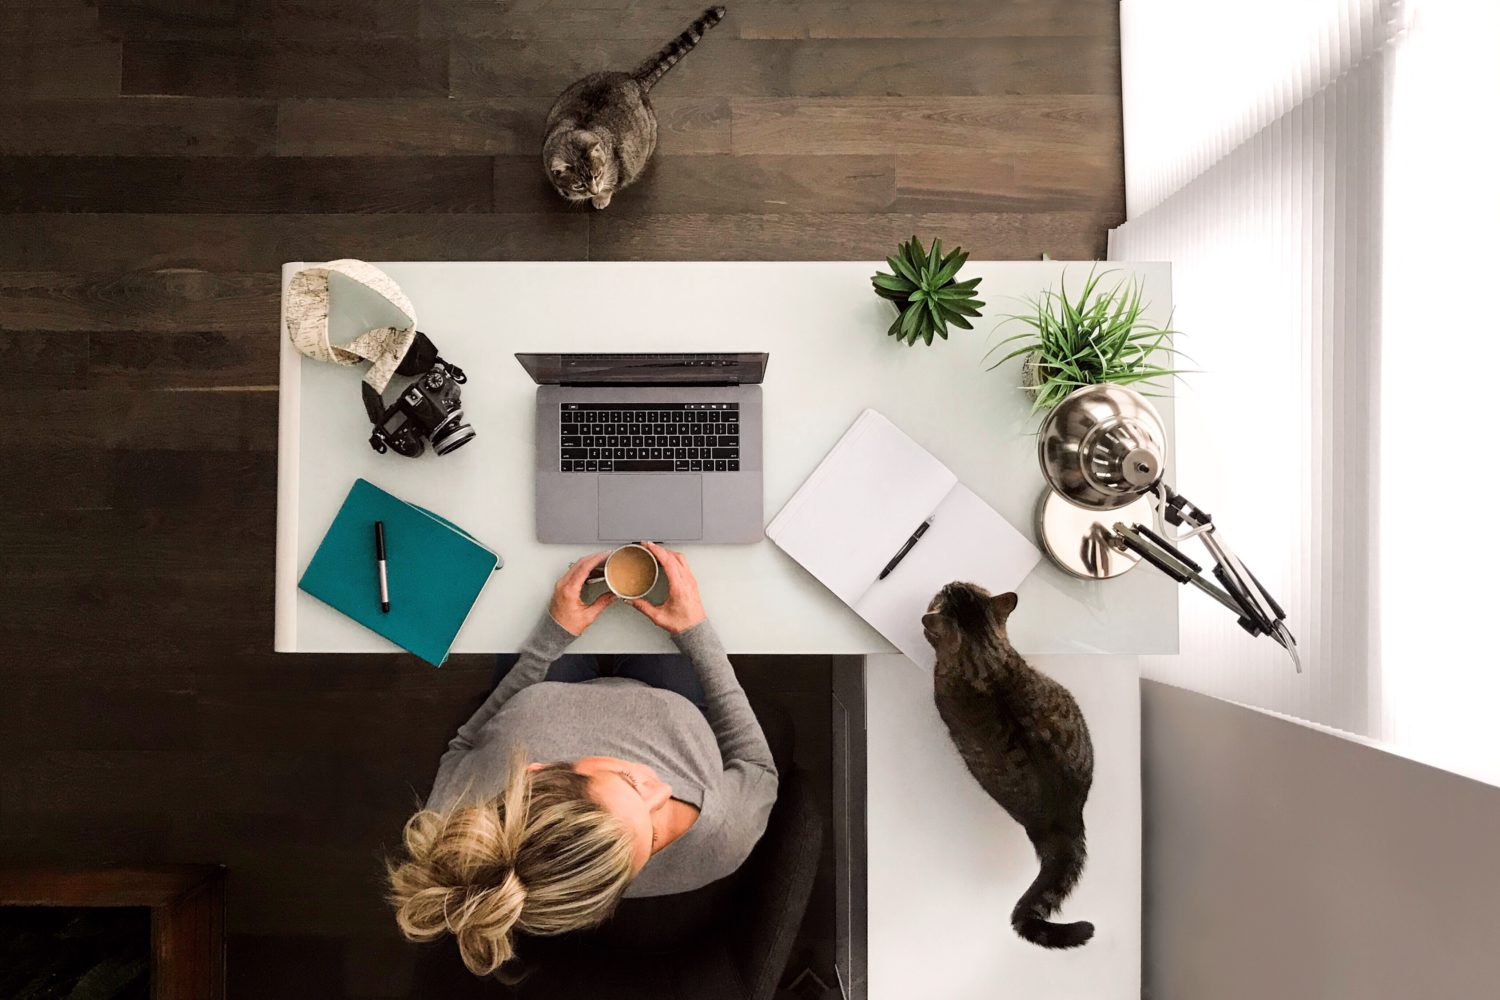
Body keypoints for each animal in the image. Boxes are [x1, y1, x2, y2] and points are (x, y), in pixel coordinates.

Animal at [543, 6, 729, 211]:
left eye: (597, 174)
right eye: (578, 185)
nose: (593, 190)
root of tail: (631, 77)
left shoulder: (618, 170)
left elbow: (611, 186)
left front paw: (601, 198)